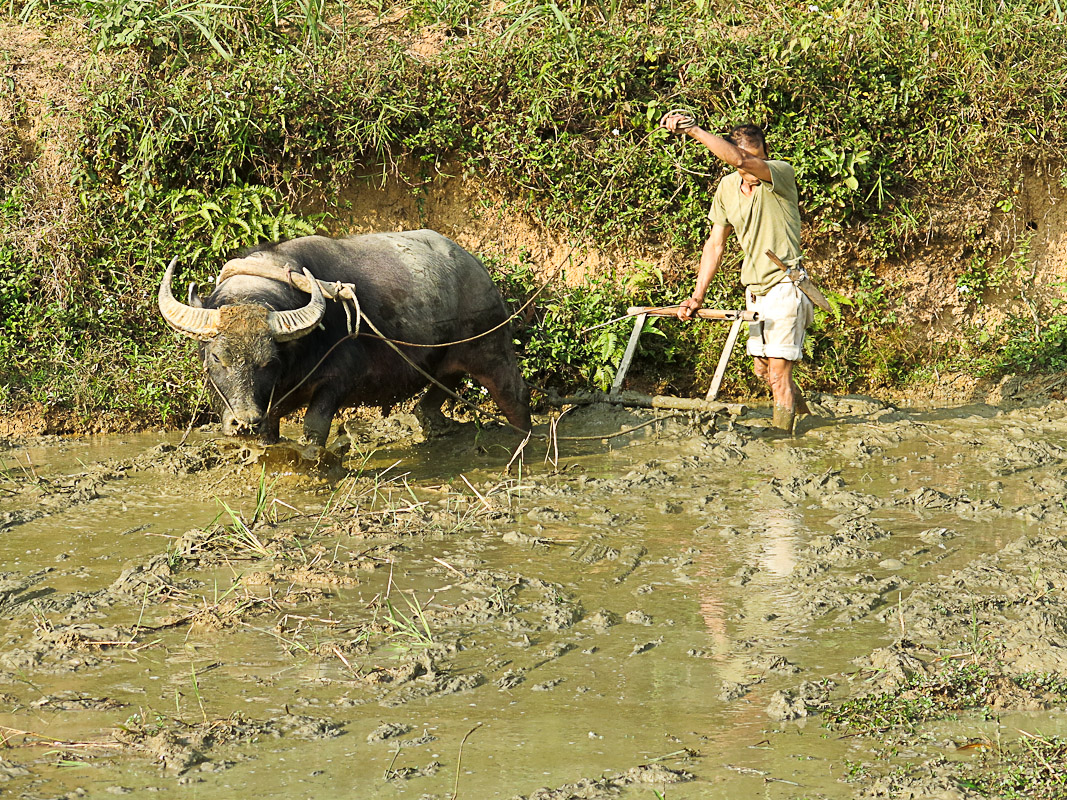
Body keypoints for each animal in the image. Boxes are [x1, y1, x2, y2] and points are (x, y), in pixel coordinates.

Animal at [157, 228, 533, 448]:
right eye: (217, 358)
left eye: (269, 361)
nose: (244, 422)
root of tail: (479, 270)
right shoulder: (270, 409)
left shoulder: (337, 381)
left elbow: (315, 426)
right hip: (445, 364)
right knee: (433, 398)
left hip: (493, 352)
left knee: (515, 398)